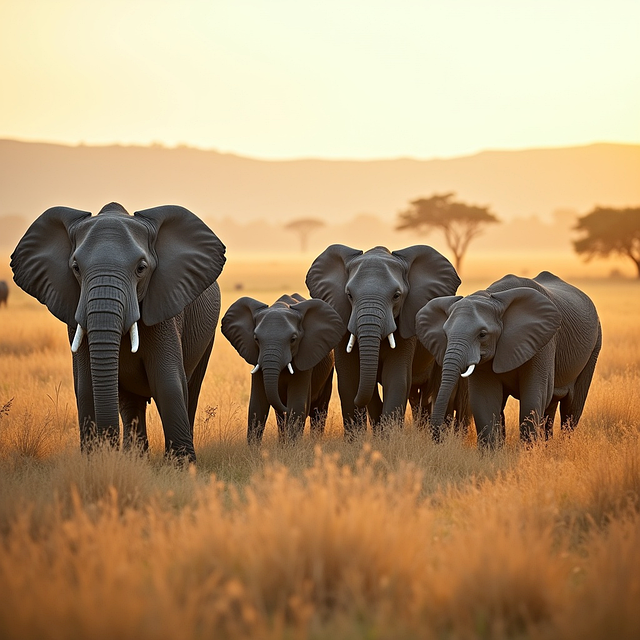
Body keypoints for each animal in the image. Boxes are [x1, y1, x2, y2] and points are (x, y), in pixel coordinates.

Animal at [11, 202, 226, 463]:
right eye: (76, 268)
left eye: (141, 268)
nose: (107, 447)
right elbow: (86, 386)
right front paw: (96, 461)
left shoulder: (165, 312)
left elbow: (168, 383)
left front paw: (181, 466)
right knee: (130, 402)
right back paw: (136, 458)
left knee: (191, 388)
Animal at [221, 293, 344, 444]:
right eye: (256, 339)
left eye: (293, 339)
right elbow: (257, 405)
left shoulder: (306, 355)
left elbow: (297, 404)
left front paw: (291, 448)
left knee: (319, 410)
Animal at [306, 244, 461, 436]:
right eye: (349, 295)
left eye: (396, 296)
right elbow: (349, 381)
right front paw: (358, 439)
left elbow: (396, 379)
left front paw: (388, 437)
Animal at [416, 271, 602, 447]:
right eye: (445, 334)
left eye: (482, 334)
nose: (438, 440)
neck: (492, 297)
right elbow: (485, 401)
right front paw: (492, 455)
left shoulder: (543, 342)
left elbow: (533, 399)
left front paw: (528, 454)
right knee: (550, 407)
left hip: (594, 347)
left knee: (571, 409)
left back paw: (563, 447)